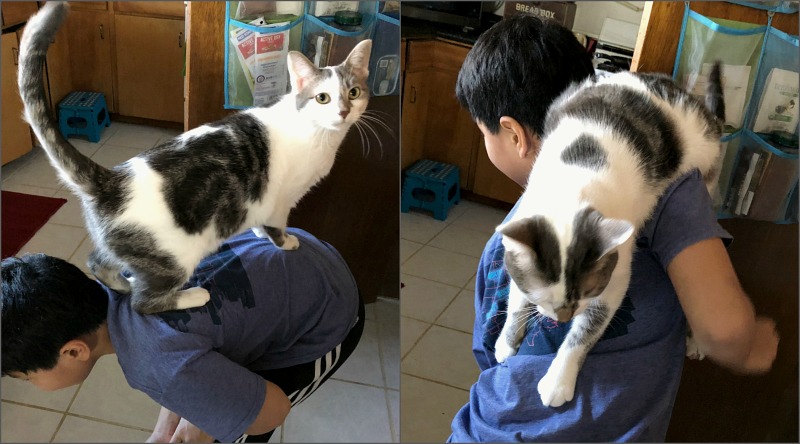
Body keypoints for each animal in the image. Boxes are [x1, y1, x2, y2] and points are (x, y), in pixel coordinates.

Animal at [15, 3, 372, 314]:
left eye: (353, 93)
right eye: (322, 98)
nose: (343, 112)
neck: (318, 133)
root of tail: (111, 180)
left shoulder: (263, 202)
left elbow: (259, 221)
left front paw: (258, 234)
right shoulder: (281, 201)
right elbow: (277, 227)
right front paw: (285, 243)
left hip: (124, 248)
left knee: (99, 263)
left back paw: (123, 284)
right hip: (173, 259)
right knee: (144, 303)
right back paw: (190, 296)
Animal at [494, 65, 724, 406]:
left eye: (588, 291)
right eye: (546, 298)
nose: (563, 317)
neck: (574, 182)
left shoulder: (614, 279)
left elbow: (586, 332)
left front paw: (558, 381)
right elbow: (517, 302)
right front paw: (507, 342)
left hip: (704, 175)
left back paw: (695, 342)